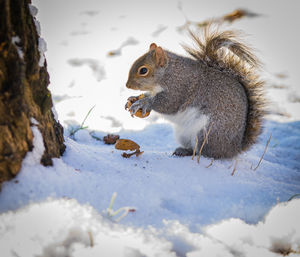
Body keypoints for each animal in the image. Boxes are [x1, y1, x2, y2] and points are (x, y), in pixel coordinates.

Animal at [124, 28, 264, 159]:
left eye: (143, 70)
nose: (127, 85)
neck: (169, 72)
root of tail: (234, 149)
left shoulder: (178, 88)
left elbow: (167, 104)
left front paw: (143, 103)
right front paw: (133, 98)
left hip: (206, 132)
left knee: (204, 152)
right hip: (184, 135)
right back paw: (183, 150)